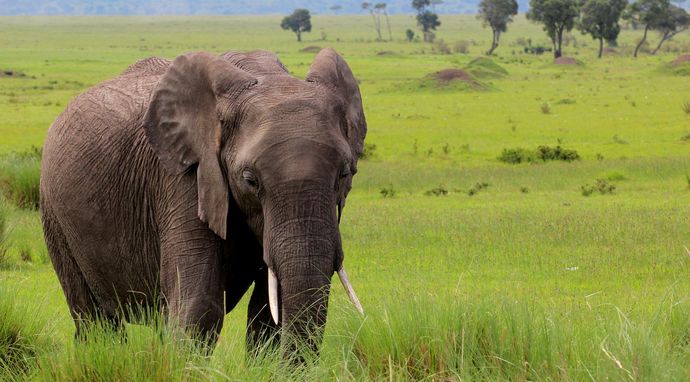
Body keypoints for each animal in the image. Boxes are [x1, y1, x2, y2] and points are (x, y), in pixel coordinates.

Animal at [39, 48, 366, 356]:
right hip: (54, 213)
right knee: (94, 319)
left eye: (345, 173)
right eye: (250, 180)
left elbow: (268, 311)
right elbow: (200, 305)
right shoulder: (185, 178)